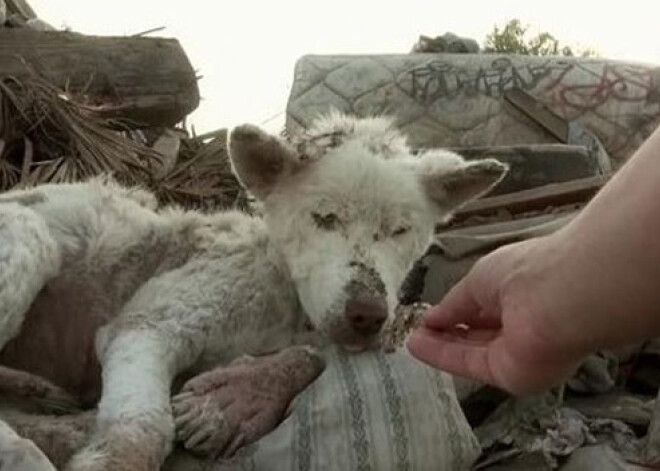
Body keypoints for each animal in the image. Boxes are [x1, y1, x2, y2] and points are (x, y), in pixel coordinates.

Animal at [0, 115, 506, 471]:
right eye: (323, 218)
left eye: (401, 230)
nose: (367, 314)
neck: (283, 295)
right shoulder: (150, 320)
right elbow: (140, 432)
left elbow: (310, 356)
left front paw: (235, 400)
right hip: (28, 237)